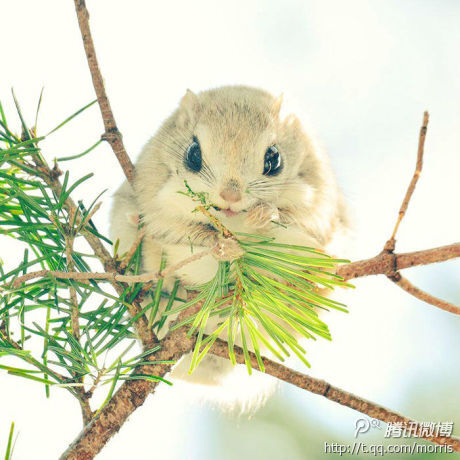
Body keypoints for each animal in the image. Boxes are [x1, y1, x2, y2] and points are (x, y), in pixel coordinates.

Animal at [110, 85, 348, 396]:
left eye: (274, 159)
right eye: (193, 154)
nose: (230, 196)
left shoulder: (317, 208)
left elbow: (289, 219)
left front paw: (263, 215)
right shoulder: (156, 203)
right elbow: (183, 231)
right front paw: (223, 247)